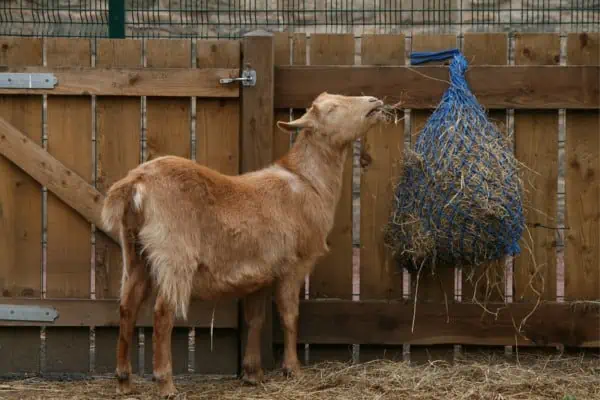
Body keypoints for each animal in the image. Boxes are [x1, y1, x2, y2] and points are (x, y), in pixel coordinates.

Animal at [102, 92, 384, 396]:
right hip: (173, 253)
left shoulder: (260, 272)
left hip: (135, 252)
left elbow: (255, 319)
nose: (375, 102)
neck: (307, 182)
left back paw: (124, 381)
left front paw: (252, 373)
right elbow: (289, 315)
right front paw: (292, 369)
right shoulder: (293, 265)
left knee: (128, 307)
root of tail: (135, 183)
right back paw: (165, 383)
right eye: (332, 109)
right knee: (163, 312)